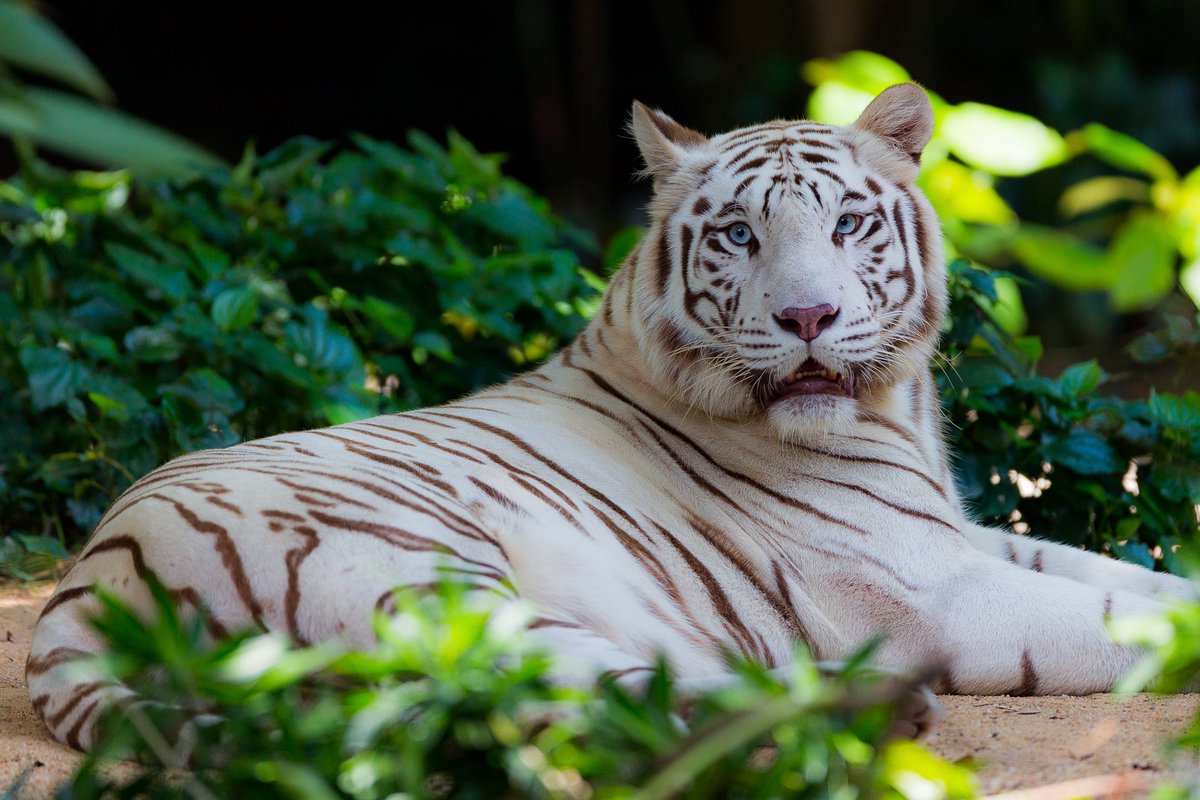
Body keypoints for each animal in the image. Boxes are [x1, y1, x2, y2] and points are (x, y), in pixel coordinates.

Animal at [28, 83, 1195, 752]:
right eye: (737, 234)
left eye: (848, 224)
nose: (808, 316)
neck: (891, 410)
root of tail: (78, 595)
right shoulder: (936, 588)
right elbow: (1128, 617)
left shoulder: (967, 537)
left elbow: (1137, 578)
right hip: (436, 585)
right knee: (557, 707)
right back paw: (870, 709)